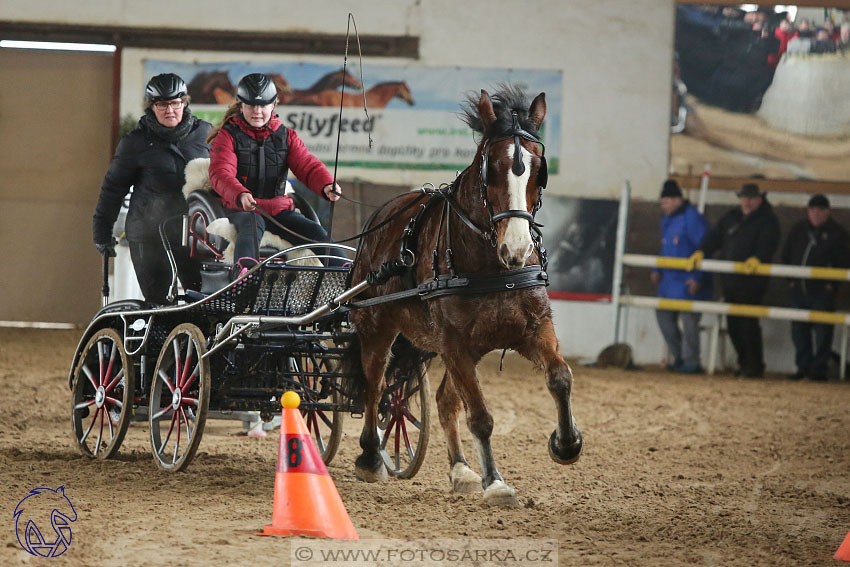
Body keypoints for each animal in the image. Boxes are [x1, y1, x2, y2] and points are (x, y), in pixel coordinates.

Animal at [346, 86, 584, 508]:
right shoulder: (453, 342)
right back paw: (371, 457)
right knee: (375, 385)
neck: (492, 267)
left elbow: (560, 378)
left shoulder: (533, 328)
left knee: (443, 400)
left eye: (539, 169)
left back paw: (460, 470)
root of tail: (382, 216)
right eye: (493, 168)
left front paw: (566, 443)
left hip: (467, 347)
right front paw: (496, 483)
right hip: (378, 327)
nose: (517, 249)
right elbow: (481, 416)